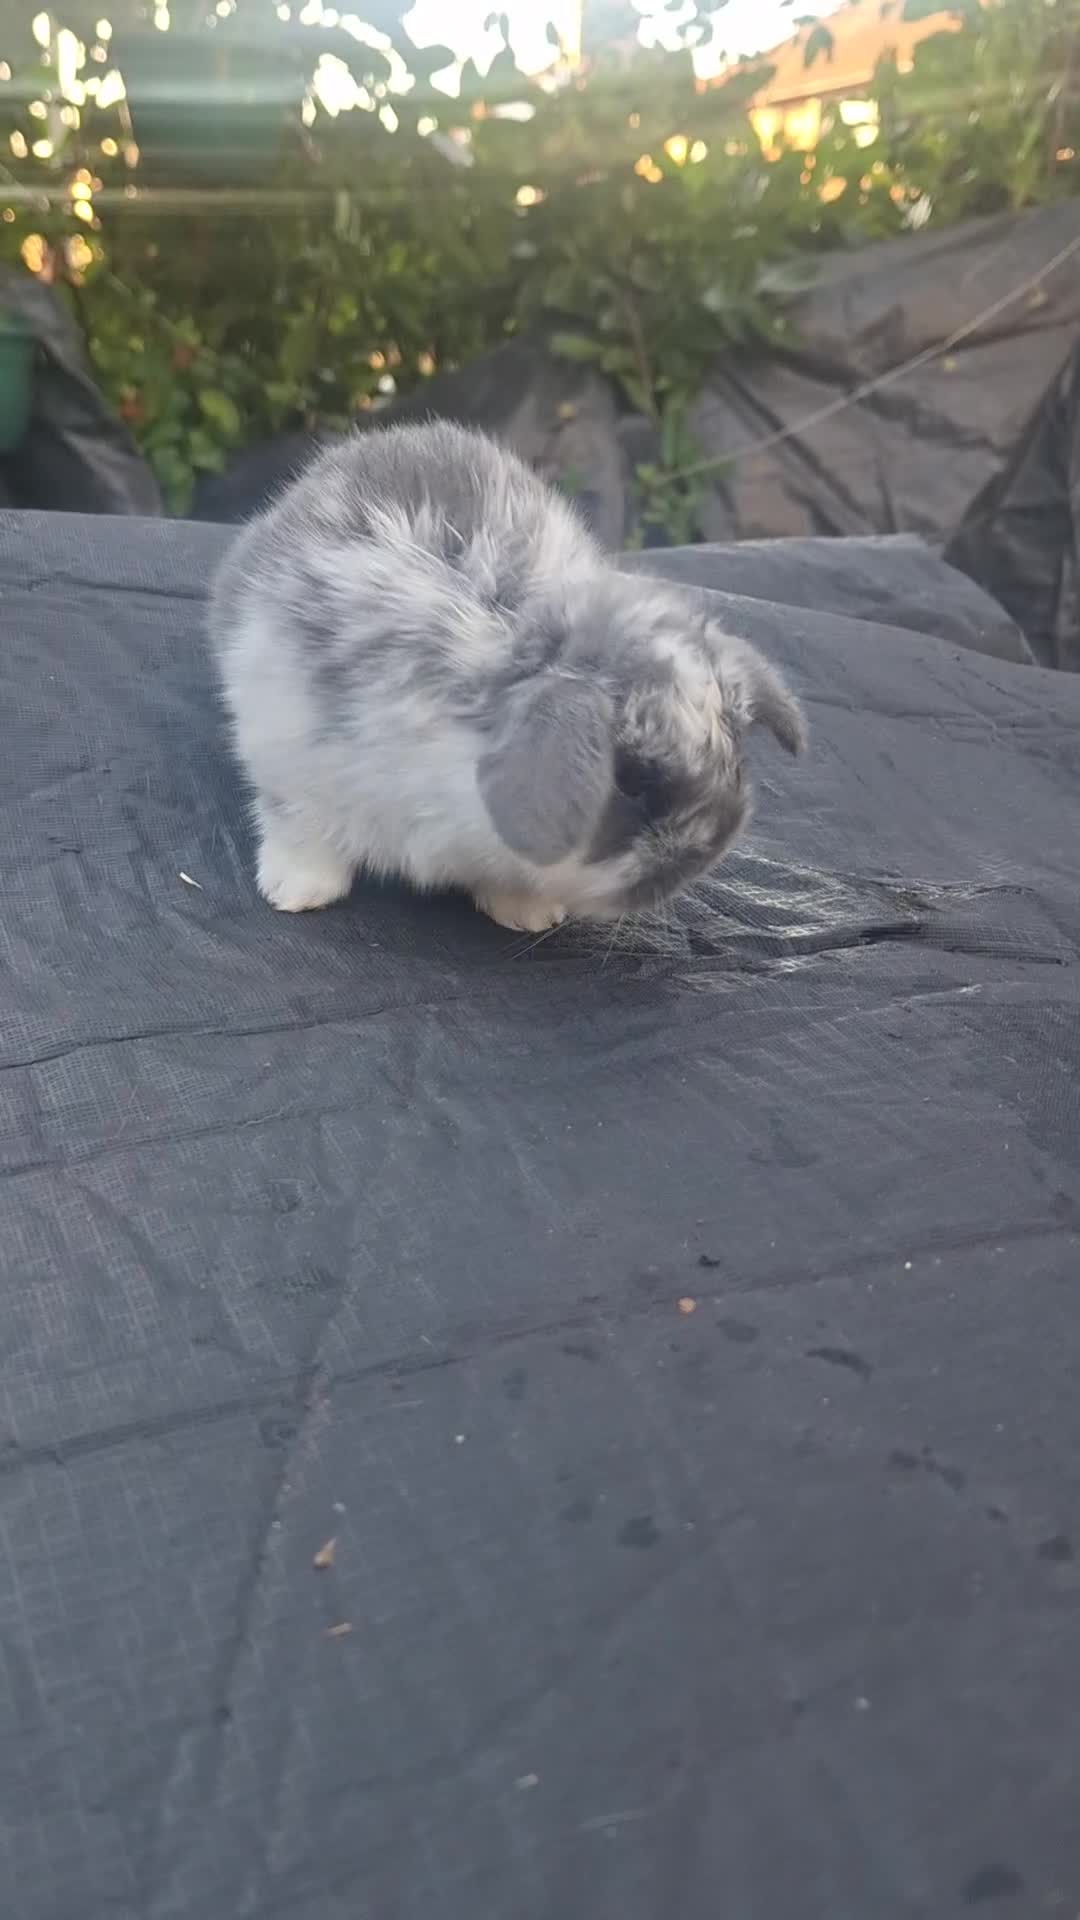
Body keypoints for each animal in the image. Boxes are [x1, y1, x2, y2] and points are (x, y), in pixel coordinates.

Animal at [208, 420, 805, 933]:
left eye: (733, 755)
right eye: (630, 782)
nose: (709, 852)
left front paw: (527, 914)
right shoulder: (291, 759)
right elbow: (299, 830)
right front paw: (298, 893)